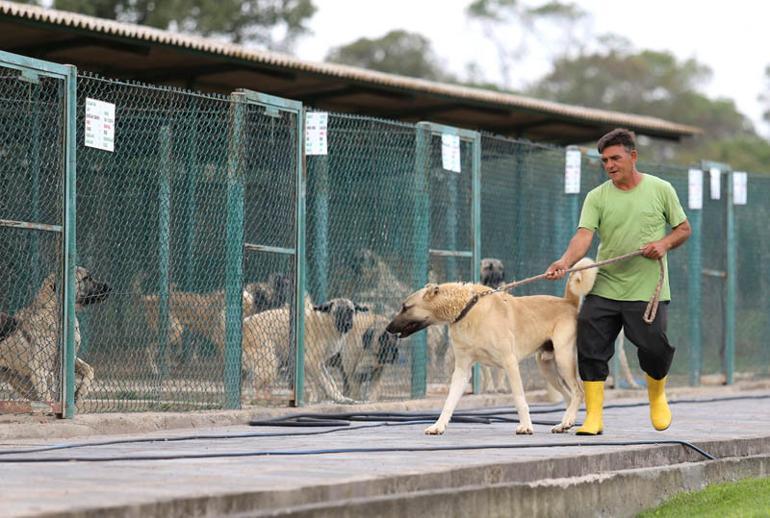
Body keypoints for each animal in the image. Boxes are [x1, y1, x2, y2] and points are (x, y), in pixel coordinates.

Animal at [0, 268, 109, 406]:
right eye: (86, 278)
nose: (108, 287)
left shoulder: (67, 359)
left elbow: (89, 369)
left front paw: (79, 394)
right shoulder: (39, 370)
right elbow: (49, 399)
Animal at [388, 258, 596, 434]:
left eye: (405, 307)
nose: (388, 329)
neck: (467, 308)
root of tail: (568, 302)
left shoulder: (510, 363)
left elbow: (519, 398)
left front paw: (526, 426)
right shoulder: (462, 369)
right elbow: (449, 401)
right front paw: (438, 426)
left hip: (563, 359)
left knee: (578, 391)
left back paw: (568, 420)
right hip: (547, 368)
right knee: (569, 396)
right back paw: (565, 423)